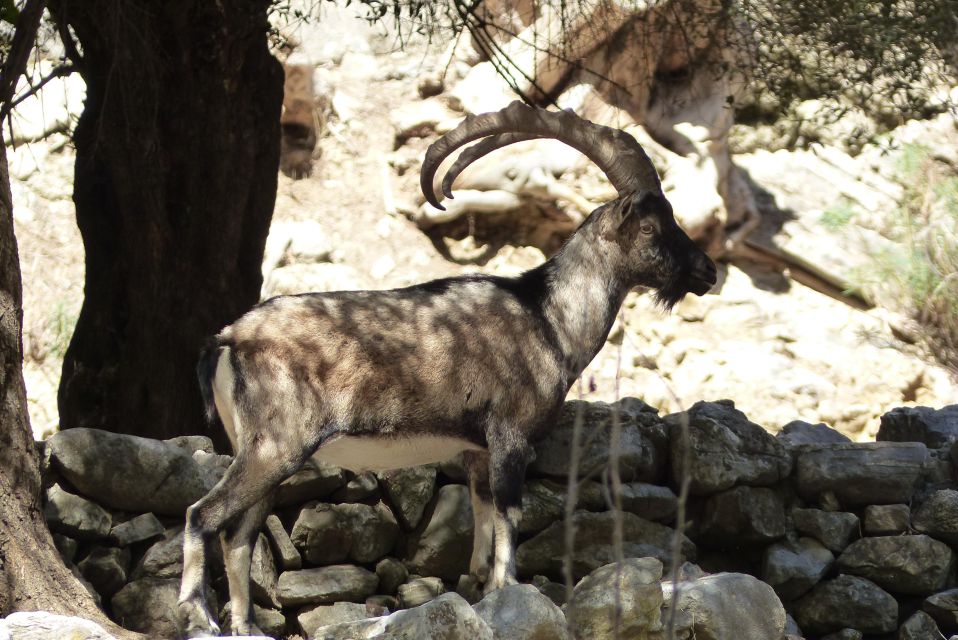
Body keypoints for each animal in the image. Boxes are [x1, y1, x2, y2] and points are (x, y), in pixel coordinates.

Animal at [180, 100, 720, 636]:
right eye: (649, 227)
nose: (708, 271)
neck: (547, 318)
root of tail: (227, 338)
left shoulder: (477, 451)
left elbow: (482, 522)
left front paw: (480, 587)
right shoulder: (510, 437)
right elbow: (509, 514)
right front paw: (510, 589)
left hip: (260, 453)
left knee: (238, 535)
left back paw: (246, 626)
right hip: (276, 448)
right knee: (202, 515)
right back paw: (198, 613)